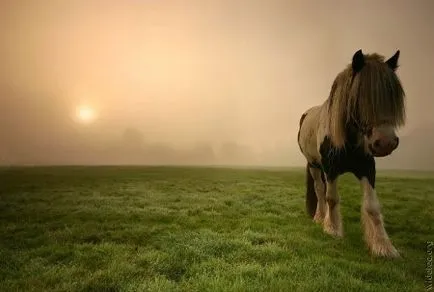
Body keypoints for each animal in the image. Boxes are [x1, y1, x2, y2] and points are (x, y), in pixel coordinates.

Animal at [296, 48, 406, 258]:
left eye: (392, 97)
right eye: (360, 97)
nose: (385, 142)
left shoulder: (367, 169)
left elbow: (372, 206)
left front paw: (383, 246)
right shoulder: (331, 169)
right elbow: (331, 198)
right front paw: (332, 229)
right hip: (314, 166)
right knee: (319, 190)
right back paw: (319, 217)